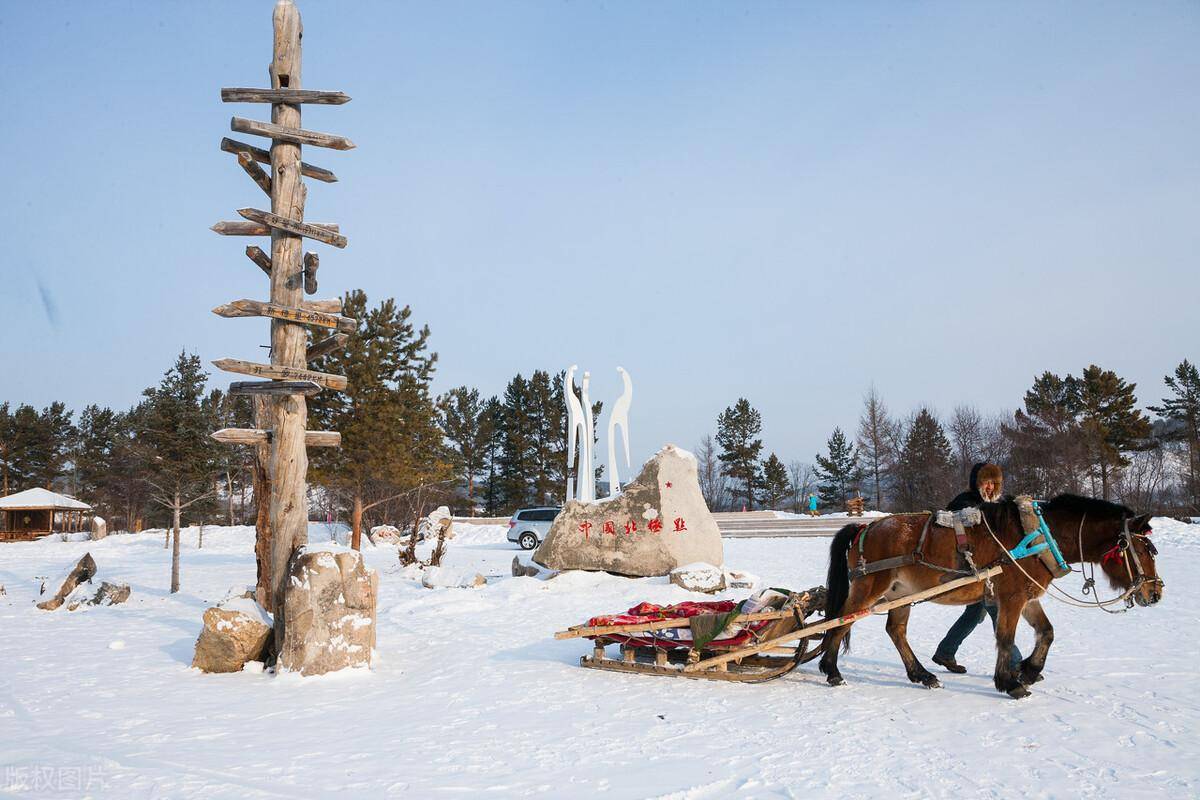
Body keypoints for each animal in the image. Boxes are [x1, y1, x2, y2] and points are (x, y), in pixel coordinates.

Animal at [816, 496, 1161, 695]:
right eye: (1145, 548)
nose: (1155, 592)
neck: (1036, 536)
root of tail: (865, 528)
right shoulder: (1011, 598)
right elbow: (1006, 639)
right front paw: (1009, 682)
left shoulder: (1027, 597)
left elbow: (1046, 632)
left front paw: (1029, 671)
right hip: (869, 587)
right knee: (841, 621)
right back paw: (832, 671)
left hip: (900, 592)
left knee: (895, 630)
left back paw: (923, 675)